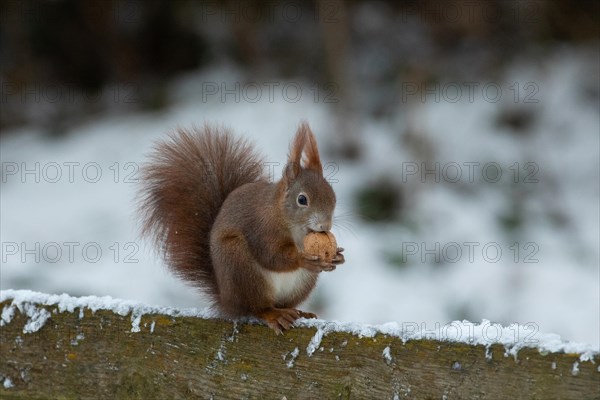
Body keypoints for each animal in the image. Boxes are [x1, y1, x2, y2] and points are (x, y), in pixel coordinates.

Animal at [139, 122, 344, 334]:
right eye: (302, 199)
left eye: (333, 196)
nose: (325, 225)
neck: (292, 224)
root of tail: (226, 301)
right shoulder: (262, 229)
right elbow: (271, 256)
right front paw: (302, 258)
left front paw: (337, 256)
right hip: (239, 265)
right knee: (256, 308)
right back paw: (273, 314)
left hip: (301, 284)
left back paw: (300, 312)